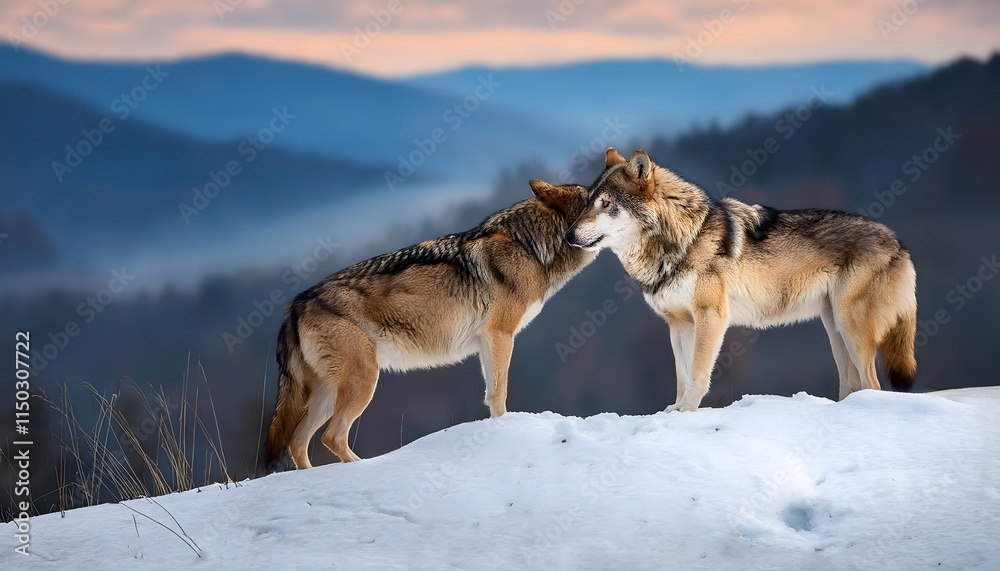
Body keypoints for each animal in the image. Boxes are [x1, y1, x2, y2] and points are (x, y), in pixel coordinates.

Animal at [265, 180, 596, 469]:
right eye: (596, 200)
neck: (528, 246)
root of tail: (294, 305)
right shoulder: (500, 335)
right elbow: (500, 393)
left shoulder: (485, 343)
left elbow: (491, 394)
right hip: (363, 381)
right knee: (331, 437)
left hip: (326, 393)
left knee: (297, 442)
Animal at [566, 147, 917, 412]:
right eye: (587, 203)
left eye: (606, 205)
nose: (568, 235)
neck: (684, 240)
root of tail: (899, 243)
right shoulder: (679, 324)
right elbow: (681, 376)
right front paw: (674, 411)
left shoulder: (711, 317)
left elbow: (697, 374)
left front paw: (686, 413)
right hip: (835, 329)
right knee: (854, 385)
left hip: (850, 327)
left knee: (873, 384)